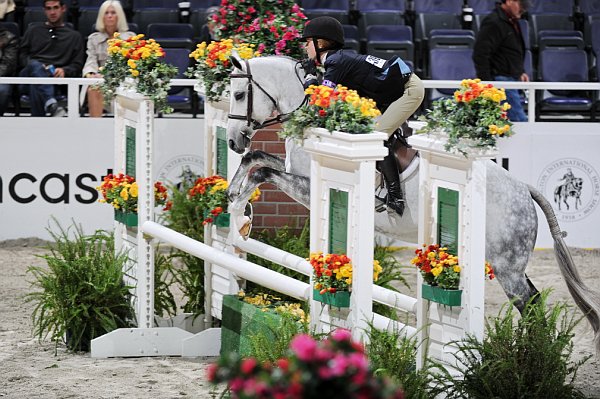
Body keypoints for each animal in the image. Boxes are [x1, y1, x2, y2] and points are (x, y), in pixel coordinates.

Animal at [225, 55, 600, 350]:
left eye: (240, 94)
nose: (233, 141)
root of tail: (524, 189)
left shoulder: (306, 185)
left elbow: (262, 172)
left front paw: (238, 207)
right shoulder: (292, 172)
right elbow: (257, 159)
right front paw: (233, 200)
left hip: (507, 264)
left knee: (530, 302)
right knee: (533, 300)